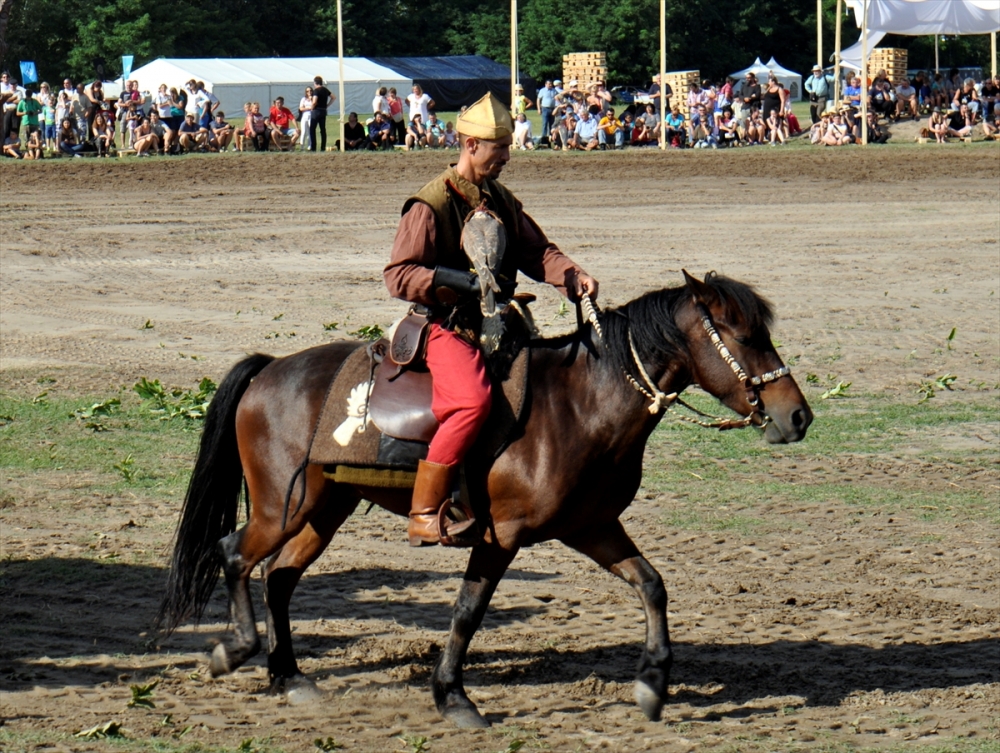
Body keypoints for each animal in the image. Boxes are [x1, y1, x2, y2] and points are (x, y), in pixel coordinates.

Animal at [156, 270, 812, 724]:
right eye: (746, 337)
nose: (798, 416)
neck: (581, 406)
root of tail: (270, 370)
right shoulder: (501, 536)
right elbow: (468, 612)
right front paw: (452, 696)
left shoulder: (593, 527)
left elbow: (651, 585)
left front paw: (653, 684)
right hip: (281, 508)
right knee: (235, 554)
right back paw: (237, 651)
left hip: (324, 508)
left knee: (280, 577)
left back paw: (288, 677)